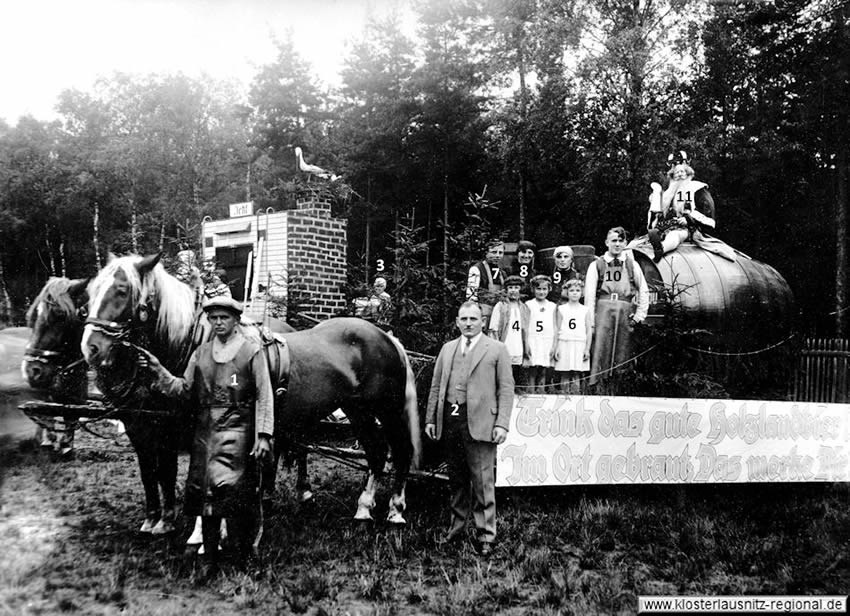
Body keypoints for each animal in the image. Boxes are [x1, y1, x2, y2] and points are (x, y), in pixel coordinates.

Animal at [81, 251, 420, 540]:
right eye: (90, 293)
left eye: (122, 290)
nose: (91, 347)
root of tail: (385, 336)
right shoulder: (151, 428)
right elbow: (155, 473)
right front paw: (160, 522)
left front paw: (203, 530)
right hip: (356, 410)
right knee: (376, 452)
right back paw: (362, 509)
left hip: (386, 410)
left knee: (399, 451)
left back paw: (395, 512)